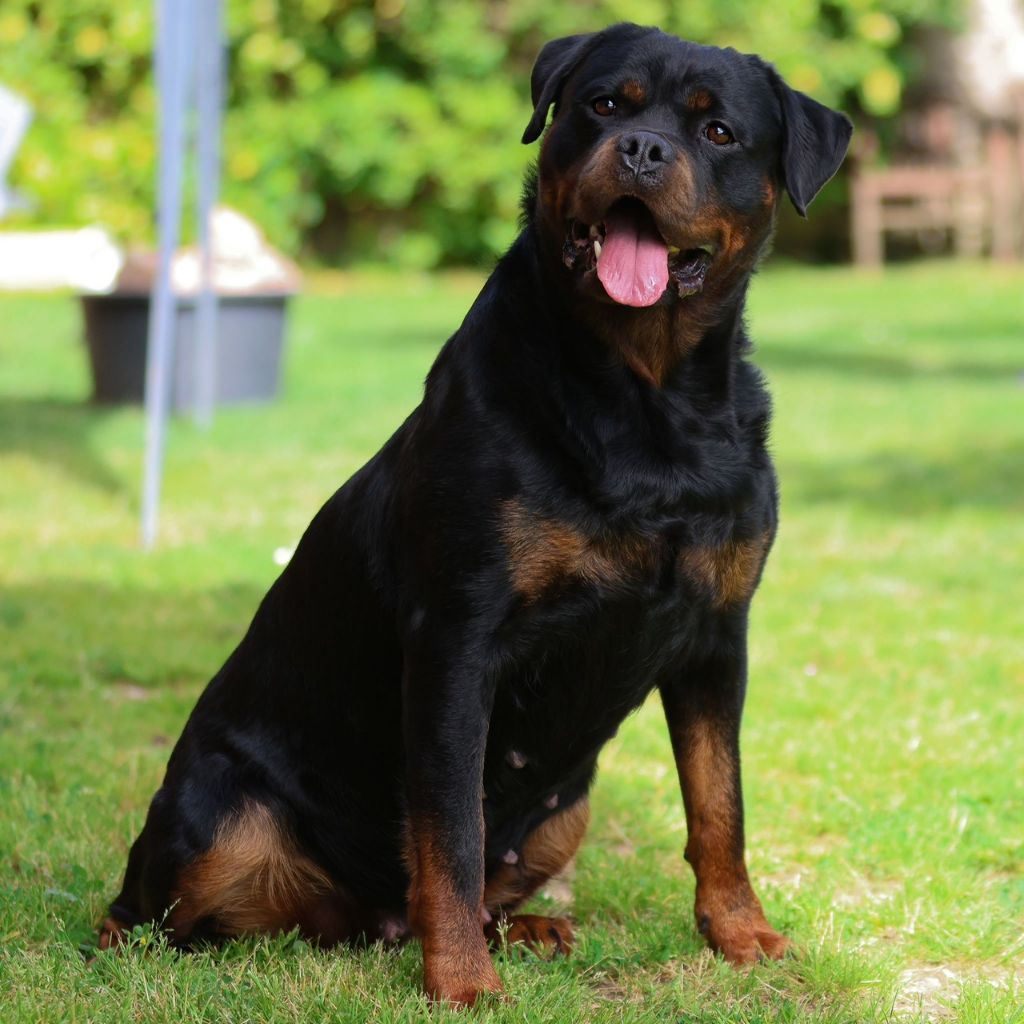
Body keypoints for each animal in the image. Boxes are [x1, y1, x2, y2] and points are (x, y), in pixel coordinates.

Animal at [99, 24, 851, 1007]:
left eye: (717, 130)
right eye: (603, 104)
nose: (643, 150)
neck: (644, 396)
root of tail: (370, 921)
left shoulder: (718, 638)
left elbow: (720, 804)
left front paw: (741, 934)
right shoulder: (458, 640)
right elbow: (450, 830)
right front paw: (461, 981)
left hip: (567, 813)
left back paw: (526, 928)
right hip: (218, 815)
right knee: (148, 907)